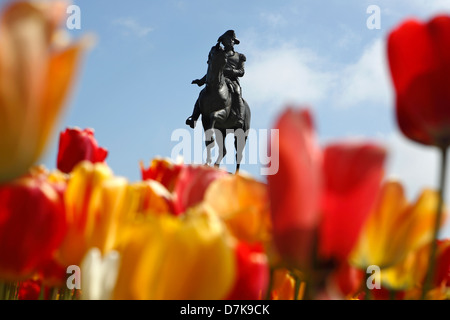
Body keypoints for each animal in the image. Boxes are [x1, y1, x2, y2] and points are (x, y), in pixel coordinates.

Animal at [192, 43, 251, 172]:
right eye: (212, 51)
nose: (219, 46)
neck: (214, 88)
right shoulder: (205, 118)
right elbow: (208, 141)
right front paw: (207, 162)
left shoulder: (223, 113)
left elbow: (214, 115)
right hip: (222, 131)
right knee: (223, 150)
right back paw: (216, 165)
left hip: (241, 134)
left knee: (239, 154)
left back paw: (236, 173)